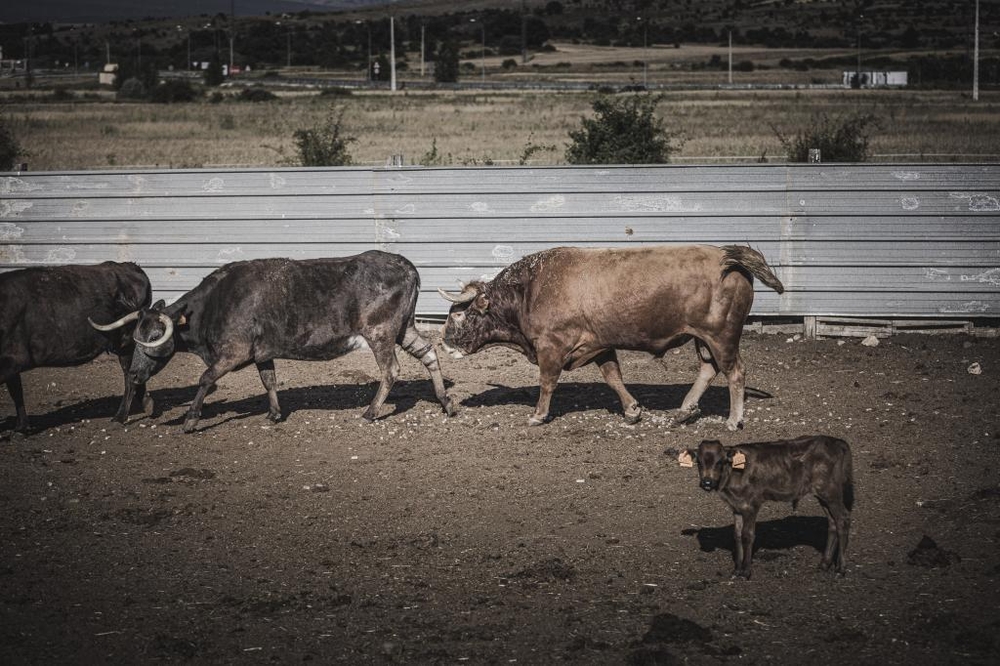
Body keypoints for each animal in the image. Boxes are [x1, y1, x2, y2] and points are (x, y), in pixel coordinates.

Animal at [0, 260, 153, 430]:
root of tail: (130, 266)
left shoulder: (15, 358)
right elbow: (16, 392)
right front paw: (22, 426)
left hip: (126, 343)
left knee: (129, 378)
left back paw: (120, 416)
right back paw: (146, 403)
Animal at [112, 249, 454, 430]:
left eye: (155, 336)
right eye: (136, 336)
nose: (134, 373)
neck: (215, 303)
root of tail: (406, 266)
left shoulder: (234, 352)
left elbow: (206, 378)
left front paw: (191, 419)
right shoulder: (262, 354)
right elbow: (269, 381)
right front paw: (275, 413)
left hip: (380, 333)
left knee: (391, 370)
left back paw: (371, 411)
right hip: (404, 329)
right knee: (429, 353)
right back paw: (446, 402)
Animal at [442, 243, 784, 426]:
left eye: (458, 314)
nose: (444, 343)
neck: (529, 289)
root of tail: (729, 258)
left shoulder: (551, 347)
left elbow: (547, 382)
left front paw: (538, 415)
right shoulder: (600, 344)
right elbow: (613, 377)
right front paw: (632, 410)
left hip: (721, 335)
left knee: (735, 371)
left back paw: (733, 420)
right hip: (703, 337)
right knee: (709, 368)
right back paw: (686, 409)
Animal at [684, 436, 856, 576]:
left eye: (719, 461)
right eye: (699, 462)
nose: (707, 482)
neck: (732, 475)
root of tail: (838, 442)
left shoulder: (751, 504)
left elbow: (747, 535)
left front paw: (746, 571)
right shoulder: (736, 507)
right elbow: (737, 535)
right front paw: (737, 569)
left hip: (831, 491)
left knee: (843, 519)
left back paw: (840, 568)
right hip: (823, 495)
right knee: (833, 523)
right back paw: (824, 564)